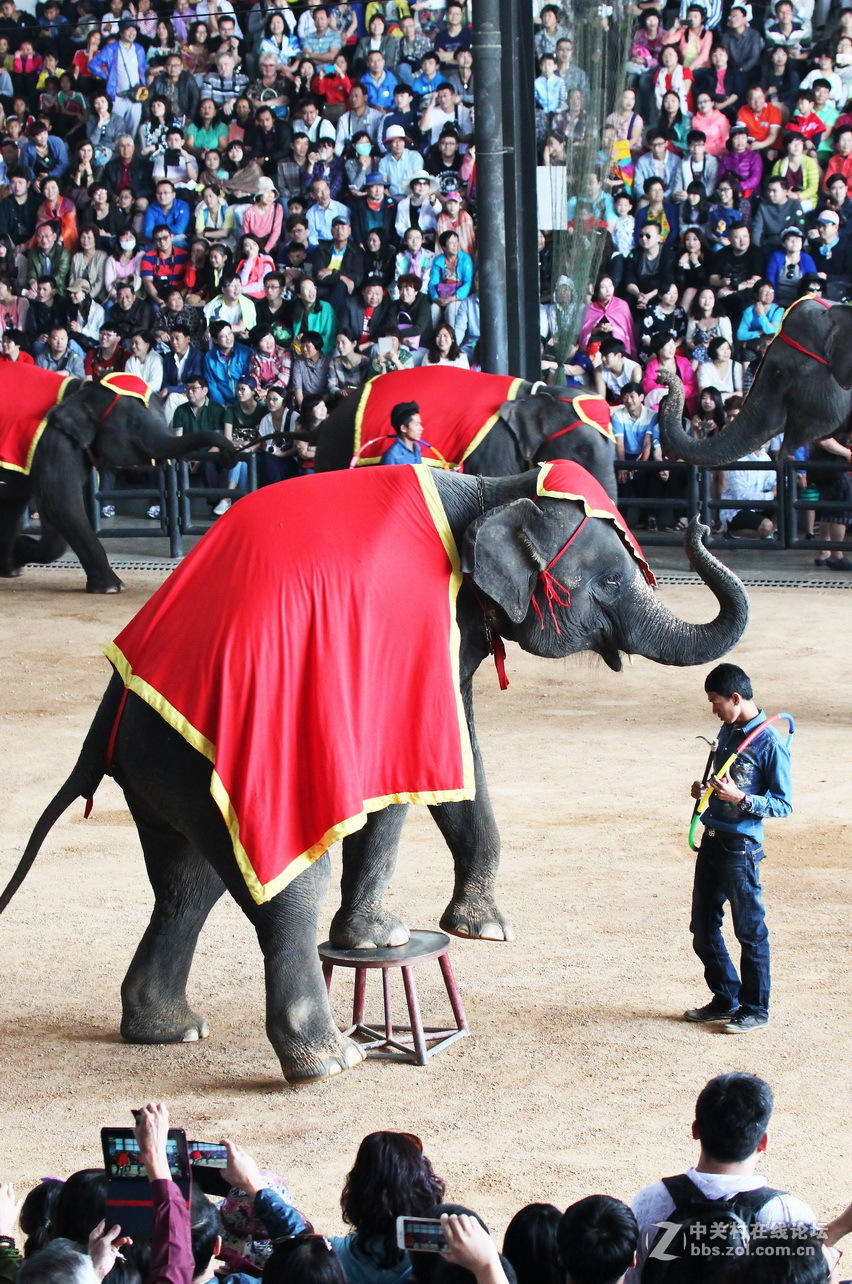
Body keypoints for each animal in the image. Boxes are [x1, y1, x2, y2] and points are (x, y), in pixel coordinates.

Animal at [0, 369, 233, 593]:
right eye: (134, 424)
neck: (80, 391)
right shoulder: (55, 444)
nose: (230, 454)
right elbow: (60, 505)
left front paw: (13, 559)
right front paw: (112, 588)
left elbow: (35, 510)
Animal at [0, 462, 744, 1083]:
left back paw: (170, 1030)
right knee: (282, 886)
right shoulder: (411, 626)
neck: (492, 488)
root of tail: (112, 707)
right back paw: (327, 1062)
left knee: (189, 883)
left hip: (168, 769)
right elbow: (409, 770)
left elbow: (459, 756)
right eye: (614, 580)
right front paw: (385, 939)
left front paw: (479, 929)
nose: (698, 524)